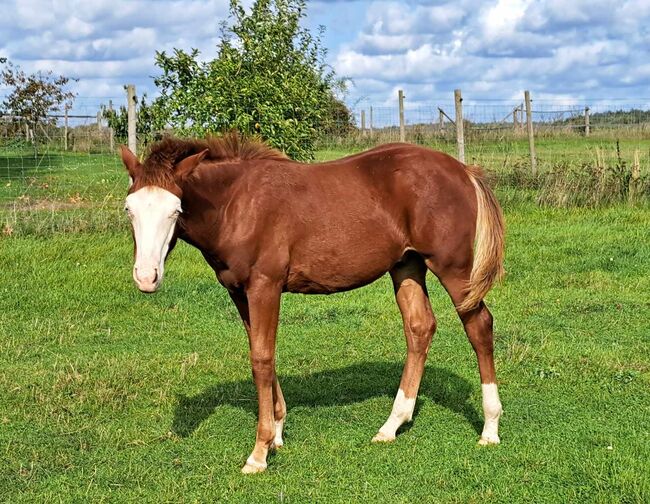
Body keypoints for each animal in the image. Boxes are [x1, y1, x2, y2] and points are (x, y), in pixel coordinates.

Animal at [121, 133, 506, 472]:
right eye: (129, 209)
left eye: (176, 210)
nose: (146, 277)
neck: (237, 204)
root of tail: (463, 170)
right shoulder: (239, 292)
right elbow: (261, 351)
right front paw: (277, 433)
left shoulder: (265, 287)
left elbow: (261, 359)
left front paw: (259, 453)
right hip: (406, 266)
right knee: (420, 327)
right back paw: (391, 425)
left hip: (454, 269)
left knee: (479, 326)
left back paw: (490, 428)